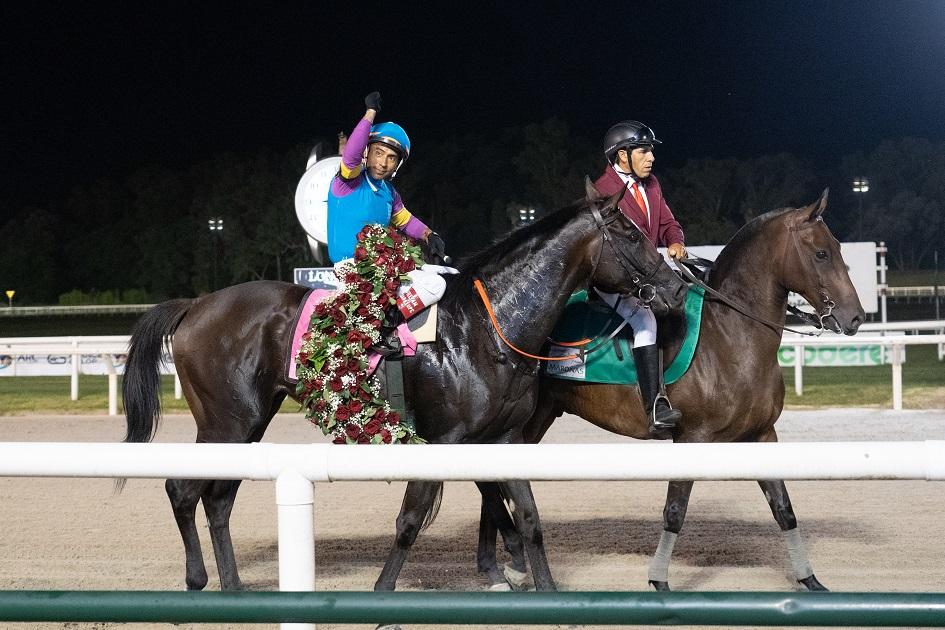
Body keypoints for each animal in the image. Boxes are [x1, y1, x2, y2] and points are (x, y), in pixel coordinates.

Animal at [123, 180, 684, 596]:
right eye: (631, 233)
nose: (677, 287)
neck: (488, 325)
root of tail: (196, 305)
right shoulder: (441, 440)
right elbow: (411, 520)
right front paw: (382, 593)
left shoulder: (506, 438)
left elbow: (528, 516)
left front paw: (545, 591)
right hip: (229, 422)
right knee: (183, 490)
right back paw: (199, 580)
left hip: (249, 423)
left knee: (217, 501)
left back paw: (234, 589)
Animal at [480, 190, 864, 596]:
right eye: (821, 253)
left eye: (837, 249)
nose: (855, 317)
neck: (731, 334)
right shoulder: (692, 438)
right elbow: (675, 512)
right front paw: (659, 580)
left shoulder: (762, 435)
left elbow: (784, 510)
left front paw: (810, 580)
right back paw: (506, 568)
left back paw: (505, 569)